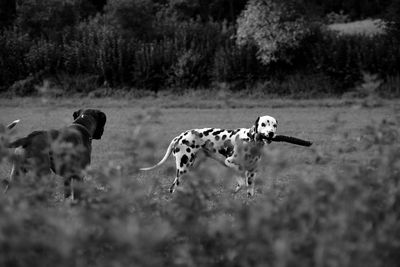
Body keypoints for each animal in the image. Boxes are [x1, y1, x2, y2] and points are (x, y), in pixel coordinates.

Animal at [141, 115, 278, 197]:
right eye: (263, 124)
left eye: (274, 125)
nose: (271, 133)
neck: (250, 140)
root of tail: (179, 136)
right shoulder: (230, 163)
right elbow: (241, 183)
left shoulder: (251, 173)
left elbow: (249, 191)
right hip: (183, 169)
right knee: (172, 188)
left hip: (191, 168)